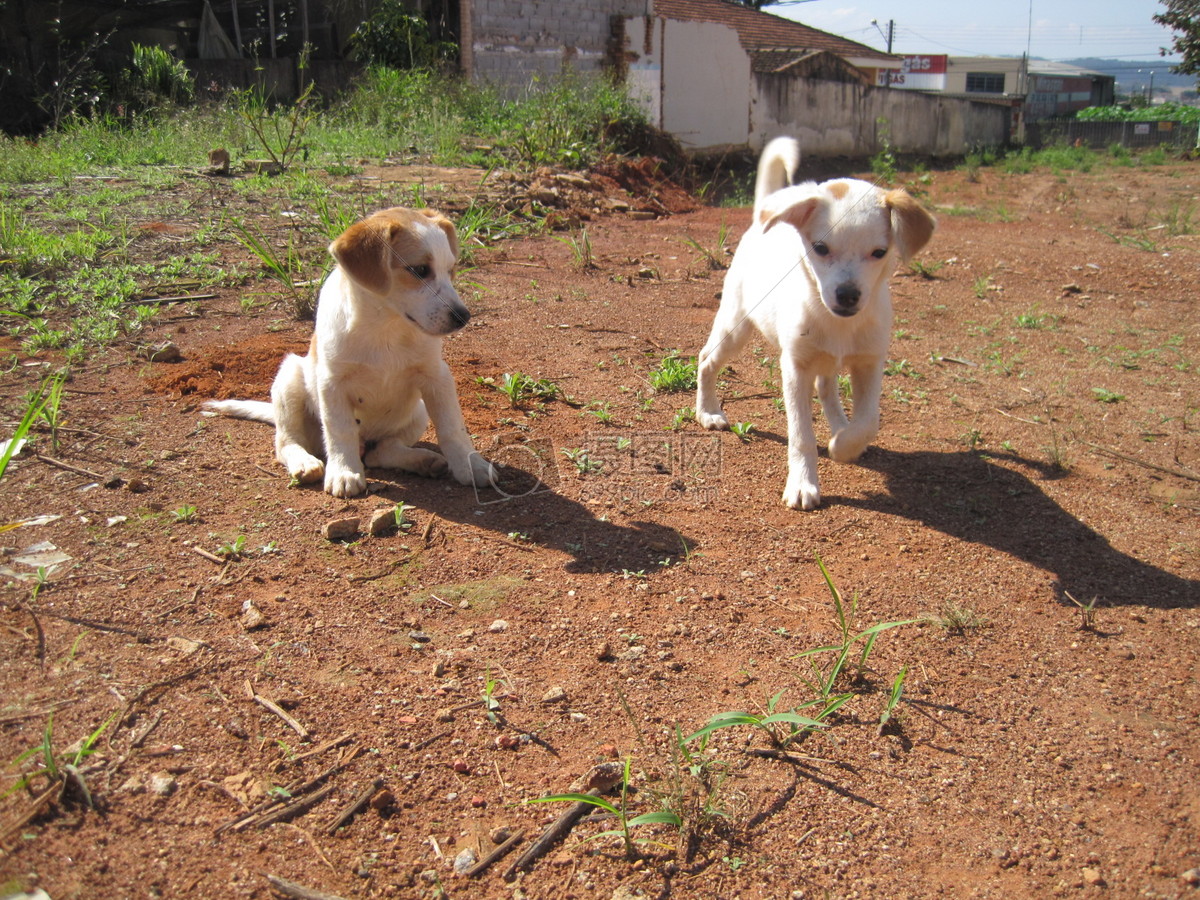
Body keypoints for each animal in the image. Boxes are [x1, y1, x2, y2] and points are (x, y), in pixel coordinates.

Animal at [206, 206, 492, 501]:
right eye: (420, 270)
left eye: (451, 270)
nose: (463, 317)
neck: (385, 327)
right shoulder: (332, 383)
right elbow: (340, 431)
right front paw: (344, 472)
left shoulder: (437, 377)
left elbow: (452, 428)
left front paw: (472, 465)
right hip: (288, 379)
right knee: (287, 443)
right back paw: (305, 462)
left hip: (418, 411)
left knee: (381, 452)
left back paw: (423, 460)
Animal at [696, 137, 936, 511]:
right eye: (820, 248)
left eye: (879, 252)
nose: (847, 295)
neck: (837, 323)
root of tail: (761, 220)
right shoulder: (795, 368)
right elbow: (801, 436)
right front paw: (802, 483)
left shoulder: (870, 363)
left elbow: (869, 421)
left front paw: (844, 444)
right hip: (735, 327)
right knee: (706, 359)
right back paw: (708, 411)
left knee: (827, 389)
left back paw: (839, 426)